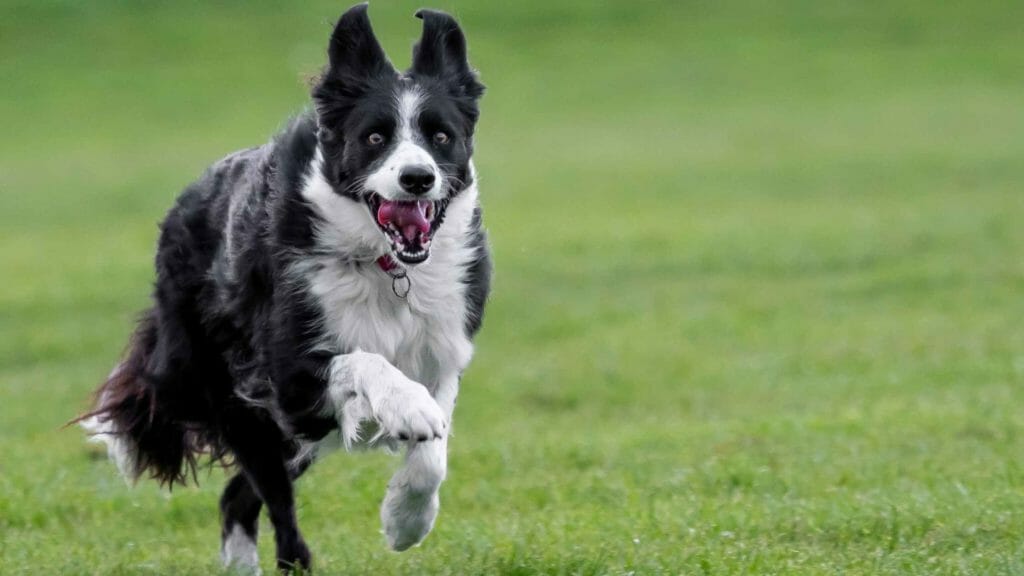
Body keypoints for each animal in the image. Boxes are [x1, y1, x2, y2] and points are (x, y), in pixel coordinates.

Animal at [79, 4, 487, 569]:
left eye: (441, 136)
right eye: (375, 138)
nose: (417, 178)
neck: (387, 268)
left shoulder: (441, 351)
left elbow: (433, 452)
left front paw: (406, 521)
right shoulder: (289, 382)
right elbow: (364, 360)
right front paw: (405, 407)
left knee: (236, 496)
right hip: (238, 401)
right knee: (275, 508)